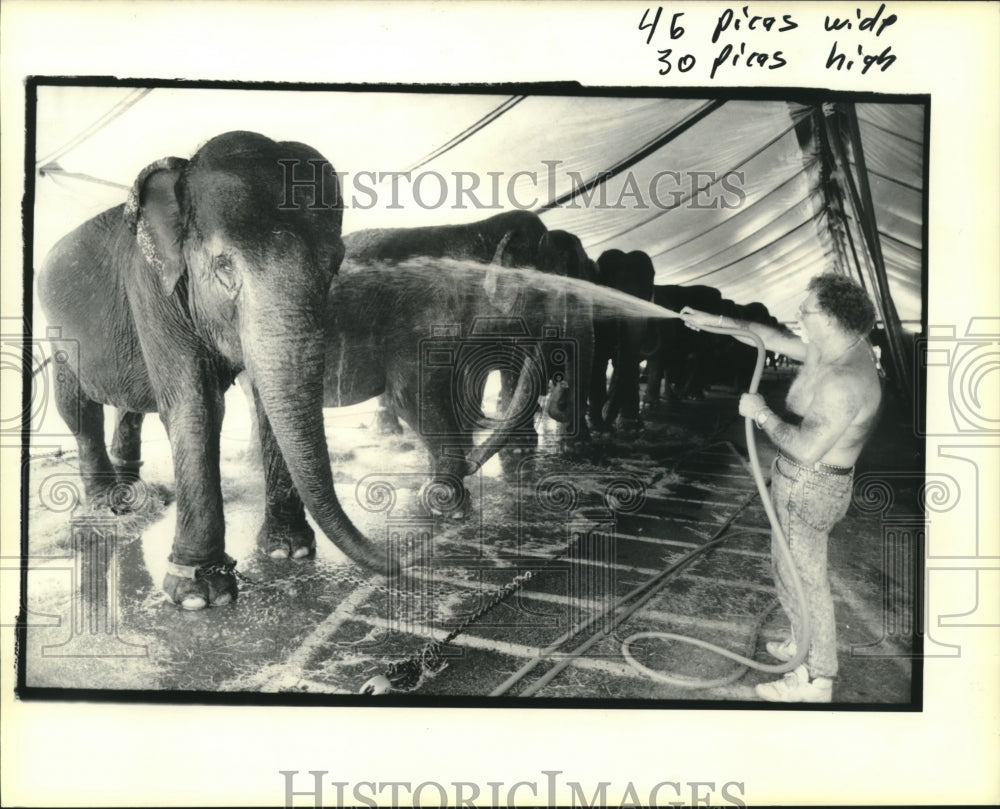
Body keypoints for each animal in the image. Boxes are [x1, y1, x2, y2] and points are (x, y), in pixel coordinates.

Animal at [35, 129, 386, 608]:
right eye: (223, 266)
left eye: (334, 265)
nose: (401, 564)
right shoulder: (151, 287)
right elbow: (195, 405)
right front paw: (199, 594)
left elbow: (263, 400)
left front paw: (288, 551)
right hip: (57, 332)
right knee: (77, 406)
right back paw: (108, 502)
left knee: (130, 406)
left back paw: (132, 494)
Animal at [584, 249, 656, 432]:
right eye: (611, 293)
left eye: (646, 293)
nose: (607, 424)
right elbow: (598, 359)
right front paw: (598, 425)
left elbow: (626, 361)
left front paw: (629, 424)